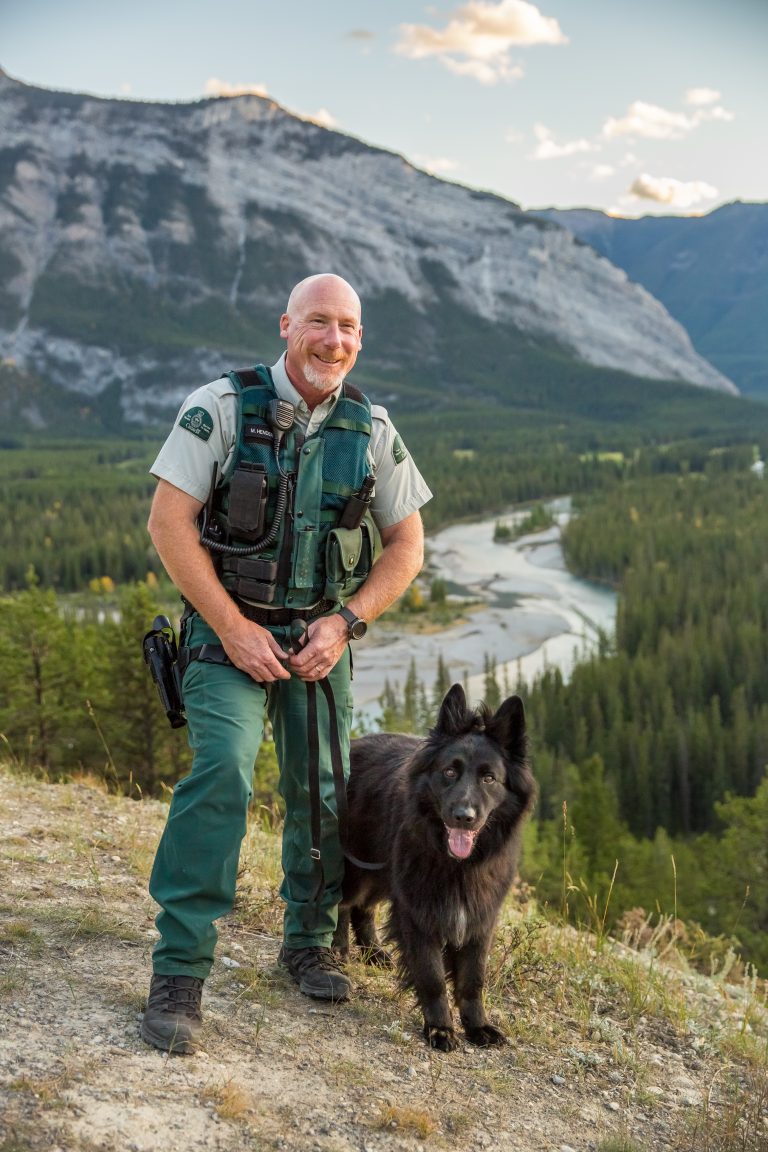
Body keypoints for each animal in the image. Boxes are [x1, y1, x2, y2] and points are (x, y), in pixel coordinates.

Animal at [333, 681, 538, 1055]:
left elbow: (472, 979)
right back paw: (338, 950)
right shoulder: (418, 914)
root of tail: (353, 744)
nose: (463, 817)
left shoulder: (479, 919)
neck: (458, 866)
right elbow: (431, 976)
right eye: (450, 772)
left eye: (489, 778)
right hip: (356, 865)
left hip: (382, 873)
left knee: (363, 908)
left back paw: (373, 952)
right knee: (343, 902)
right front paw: (440, 1027)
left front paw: (477, 1025)